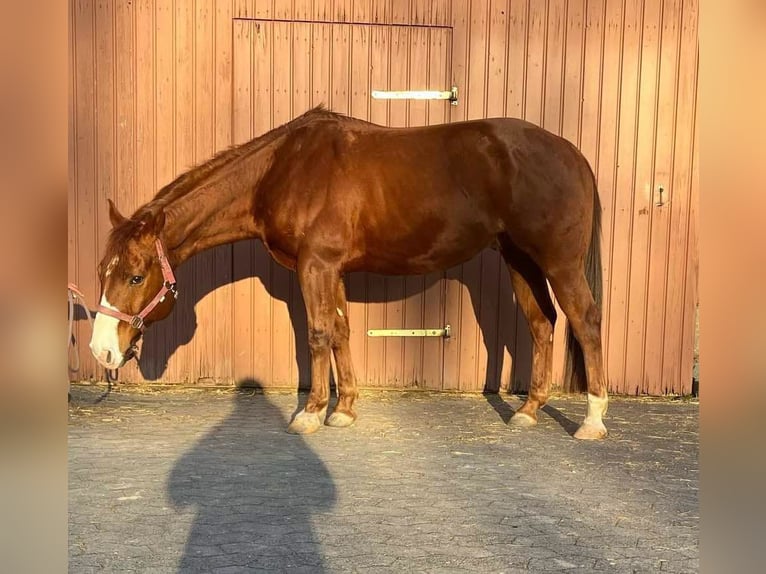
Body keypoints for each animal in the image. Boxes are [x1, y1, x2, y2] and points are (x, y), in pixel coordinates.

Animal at [89, 105, 607, 440]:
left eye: (136, 276)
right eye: (102, 271)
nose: (101, 350)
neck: (282, 169)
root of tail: (573, 153)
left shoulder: (316, 265)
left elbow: (318, 334)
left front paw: (312, 413)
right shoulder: (332, 269)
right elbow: (340, 332)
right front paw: (345, 410)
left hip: (558, 262)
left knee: (585, 322)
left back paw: (592, 420)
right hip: (519, 258)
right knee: (542, 324)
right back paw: (529, 411)